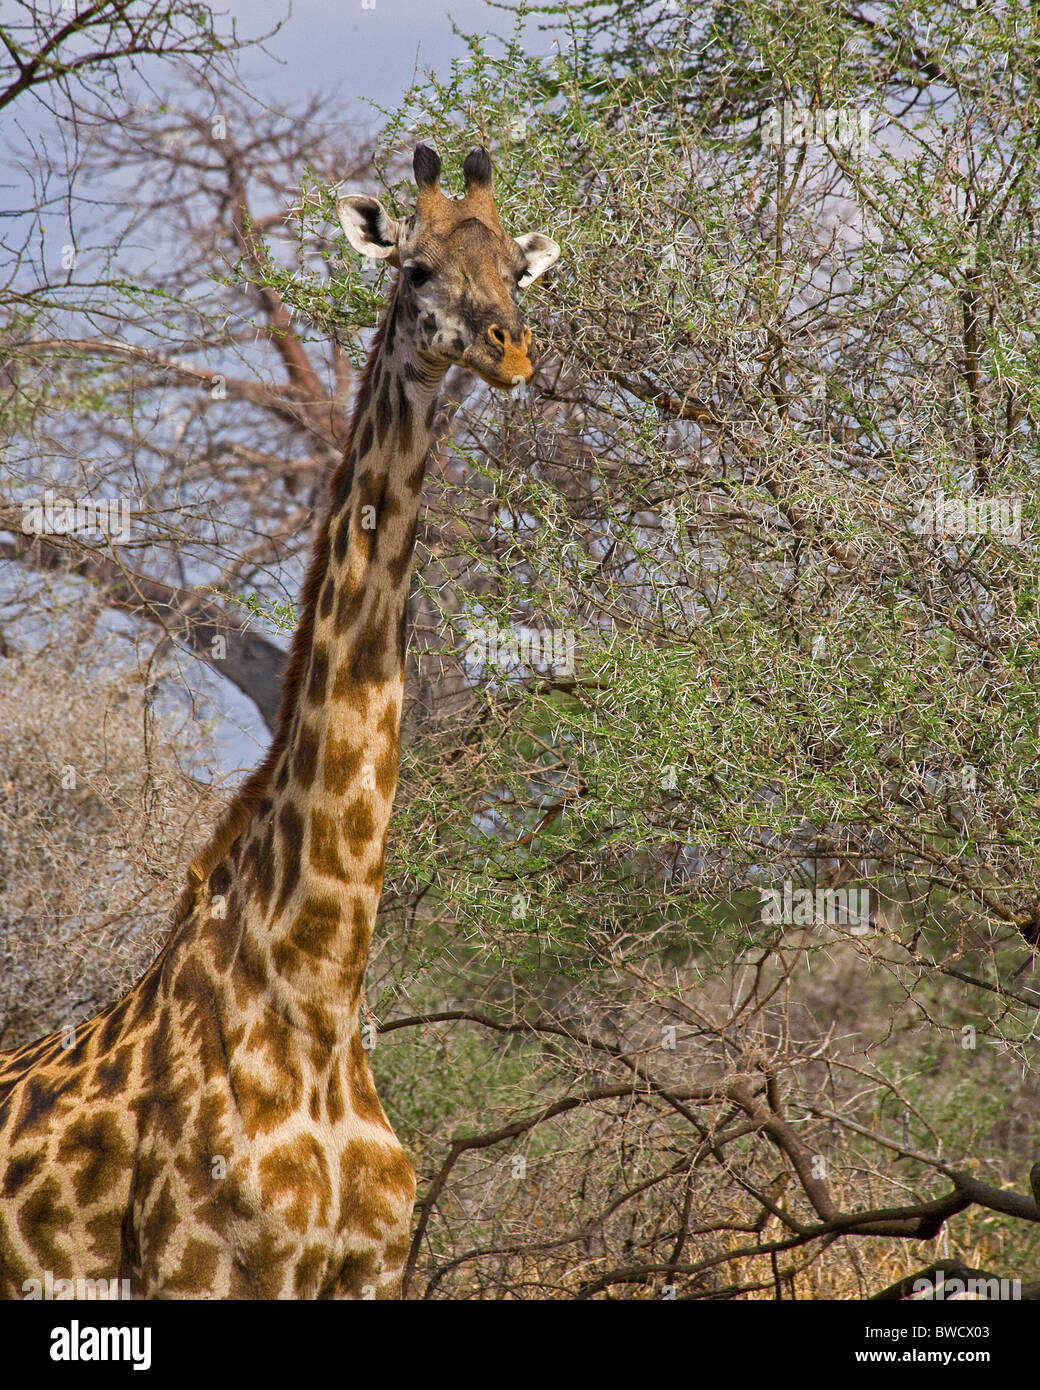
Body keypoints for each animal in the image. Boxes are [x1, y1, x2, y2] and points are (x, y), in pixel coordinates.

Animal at [0, 145, 559, 1300]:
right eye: (417, 269)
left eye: (515, 270)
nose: (511, 349)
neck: (315, 994)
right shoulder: (202, 1270)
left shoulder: (372, 1273)